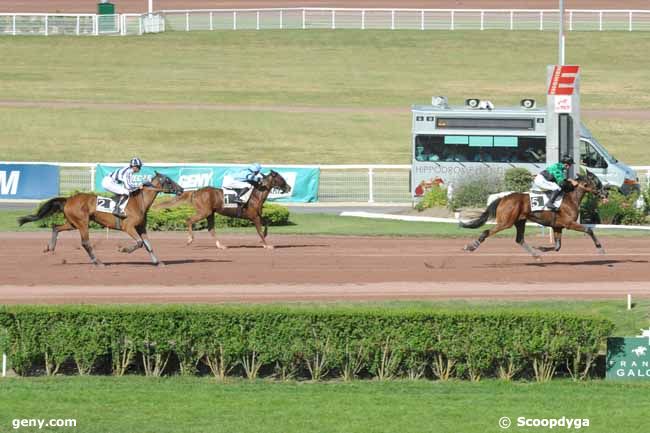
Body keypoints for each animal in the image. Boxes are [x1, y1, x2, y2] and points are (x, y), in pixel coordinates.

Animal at [18, 170, 182, 264]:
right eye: (168, 180)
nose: (181, 189)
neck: (138, 202)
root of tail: (68, 199)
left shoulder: (141, 227)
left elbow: (148, 245)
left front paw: (157, 262)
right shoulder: (128, 226)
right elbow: (140, 243)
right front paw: (123, 249)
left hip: (73, 223)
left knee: (56, 227)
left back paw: (50, 247)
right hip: (82, 223)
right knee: (85, 242)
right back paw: (98, 261)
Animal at [154, 170, 288, 250]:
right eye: (281, 178)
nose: (288, 187)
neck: (256, 195)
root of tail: (195, 192)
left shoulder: (258, 215)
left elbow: (266, 224)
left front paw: (263, 241)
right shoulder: (254, 217)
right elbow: (260, 231)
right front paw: (267, 245)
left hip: (210, 213)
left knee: (211, 229)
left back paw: (220, 245)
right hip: (204, 212)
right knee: (189, 220)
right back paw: (190, 239)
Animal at [458, 170, 604, 258]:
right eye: (596, 181)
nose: (605, 193)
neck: (570, 198)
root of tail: (504, 198)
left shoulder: (557, 226)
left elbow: (557, 246)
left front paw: (541, 249)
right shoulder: (569, 223)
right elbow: (589, 230)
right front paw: (600, 248)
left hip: (520, 221)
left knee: (519, 239)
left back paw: (535, 255)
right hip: (506, 222)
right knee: (486, 232)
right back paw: (471, 246)